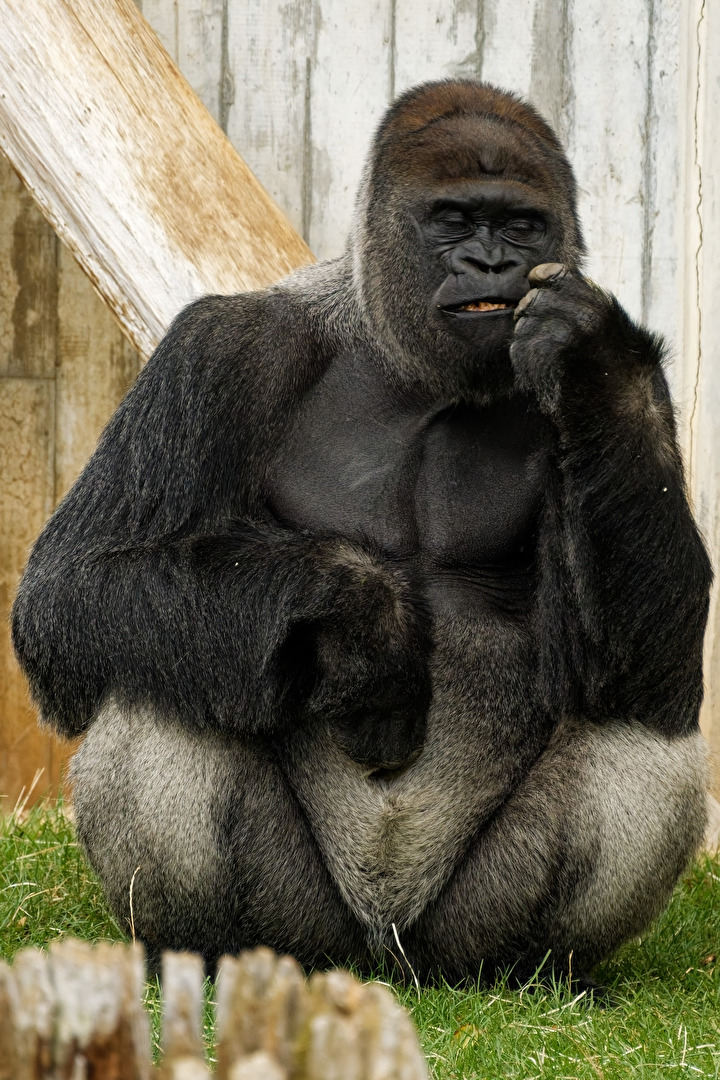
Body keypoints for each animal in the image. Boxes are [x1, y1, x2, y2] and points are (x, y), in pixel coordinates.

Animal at [12, 80, 711, 987]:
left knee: (641, 720)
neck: (398, 353)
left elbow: (638, 657)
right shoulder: (219, 348)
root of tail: (387, 963)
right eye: (454, 218)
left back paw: (547, 972)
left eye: (522, 225)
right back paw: (205, 955)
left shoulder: (620, 392)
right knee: (159, 678)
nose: (492, 266)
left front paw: (592, 359)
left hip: (453, 939)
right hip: (310, 933)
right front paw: (362, 610)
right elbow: (73, 584)